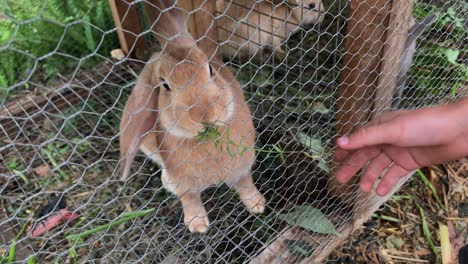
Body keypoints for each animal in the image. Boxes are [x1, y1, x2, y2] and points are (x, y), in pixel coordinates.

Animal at [119, 0, 266, 233]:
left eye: (210, 69)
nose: (204, 115)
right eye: (165, 85)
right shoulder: (184, 182)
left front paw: (258, 205)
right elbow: (189, 199)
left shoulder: (242, 166)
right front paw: (197, 225)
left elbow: (245, 184)